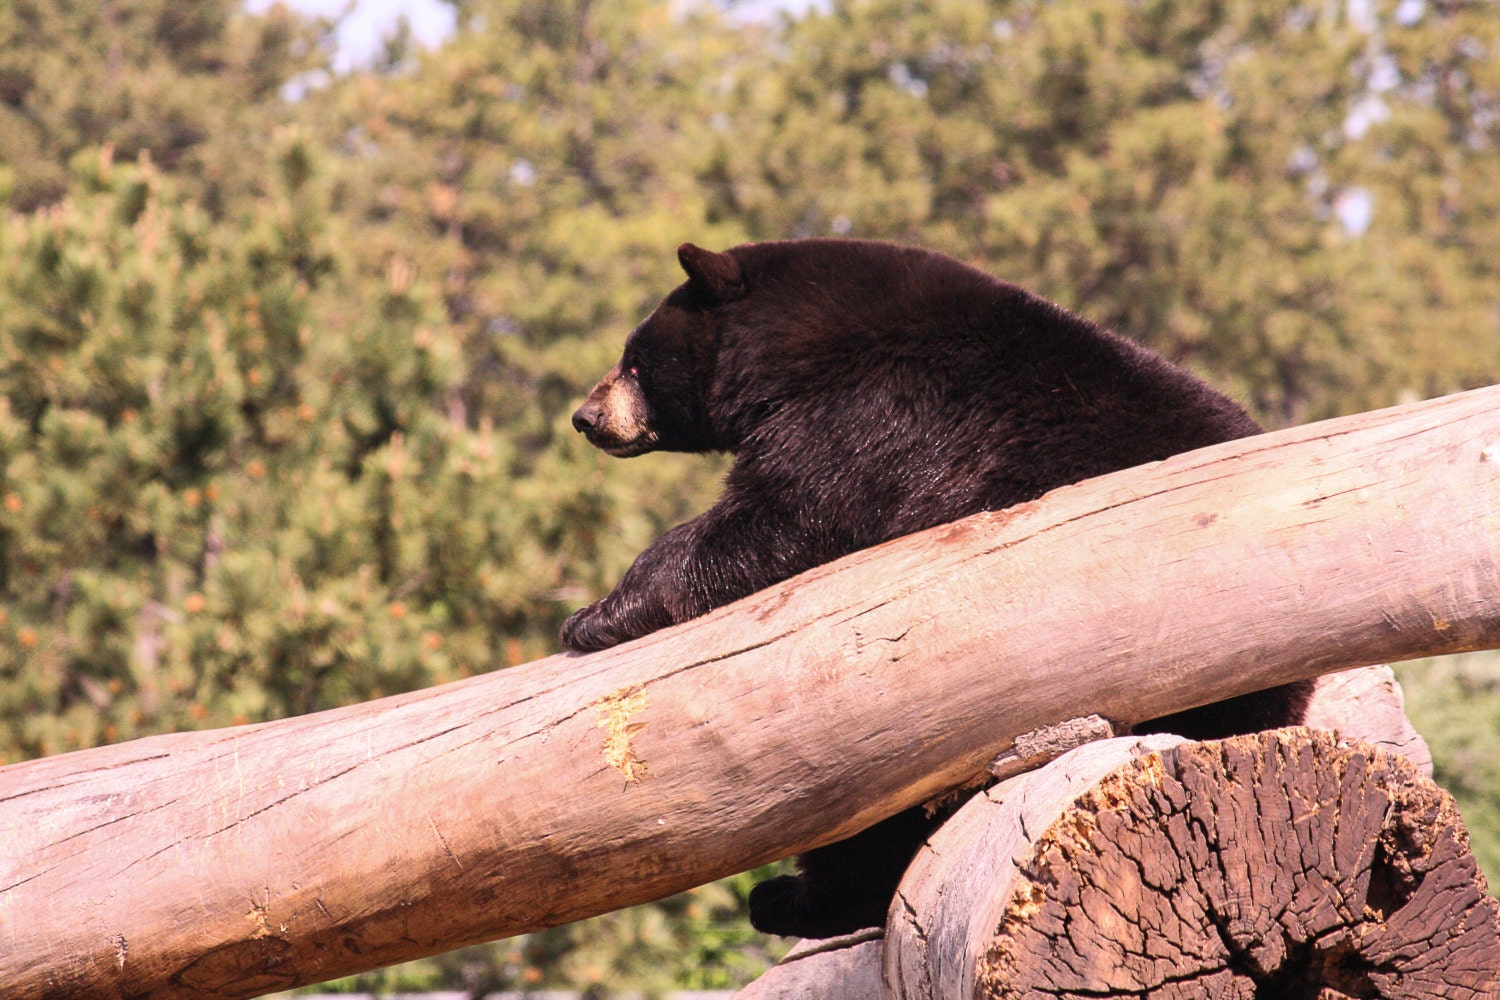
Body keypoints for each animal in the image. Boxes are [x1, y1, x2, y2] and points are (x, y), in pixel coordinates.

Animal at [558, 239, 1308, 941]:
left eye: (635, 361)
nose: (586, 416)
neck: (797, 350)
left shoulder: (870, 415)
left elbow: (776, 523)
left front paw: (596, 614)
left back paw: (793, 898)